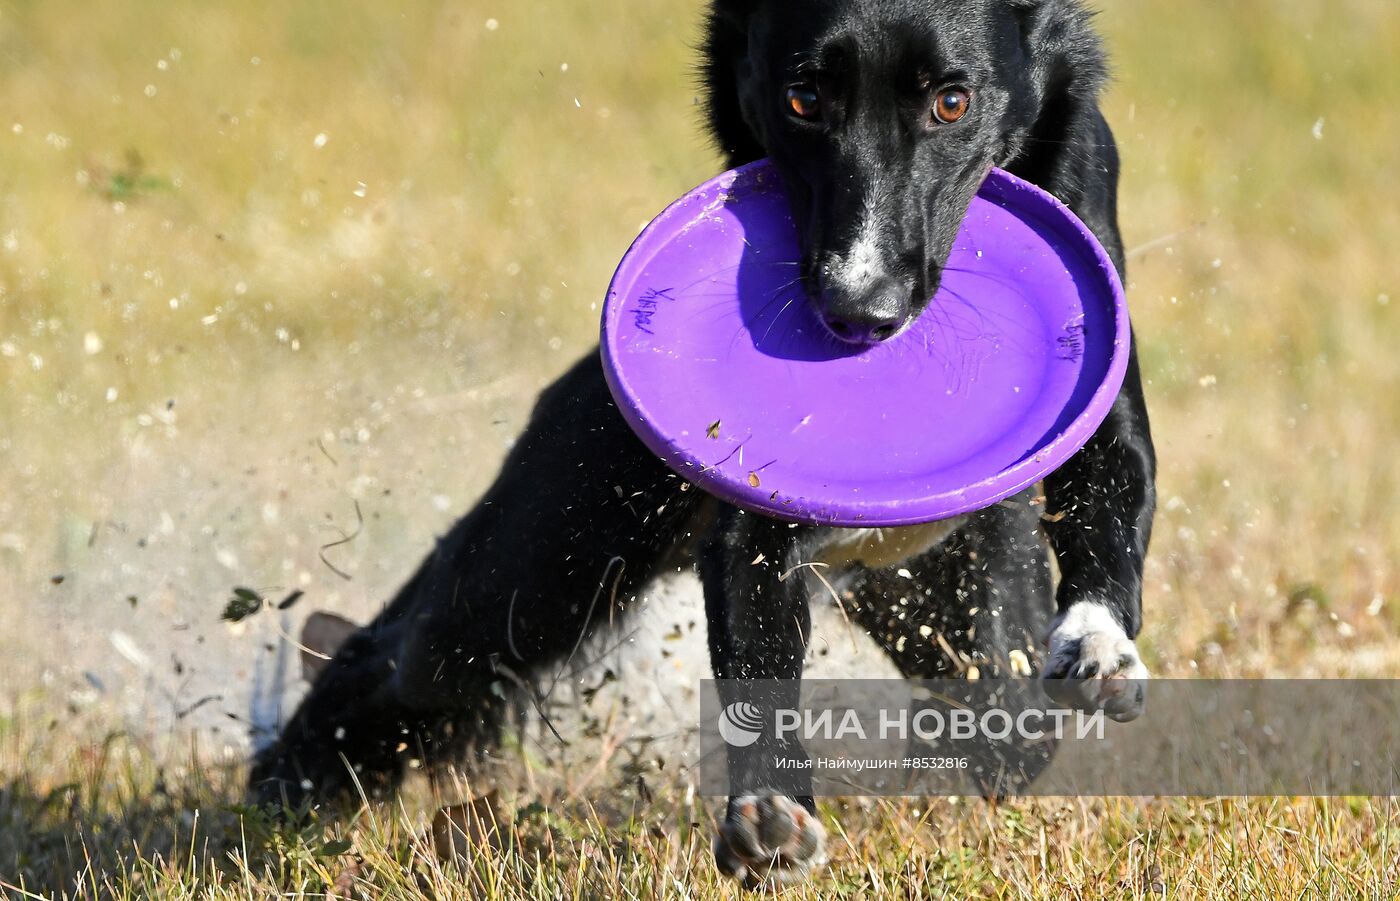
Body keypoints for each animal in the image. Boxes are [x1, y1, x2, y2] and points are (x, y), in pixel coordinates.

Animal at [254, 0, 1159, 884]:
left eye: (952, 103)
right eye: (804, 99)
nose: (857, 315)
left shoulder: (1104, 392)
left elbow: (1113, 495)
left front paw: (1096, 645)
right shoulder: (750, 515)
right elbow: (755, 654)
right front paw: (768, 810)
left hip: (954, 596)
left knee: (1008, 721)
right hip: (543, 560)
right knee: (397, 661)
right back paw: (279, 798)